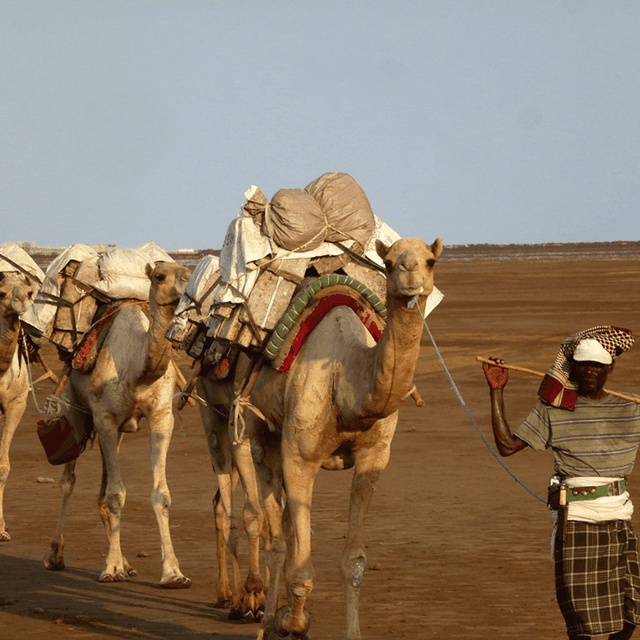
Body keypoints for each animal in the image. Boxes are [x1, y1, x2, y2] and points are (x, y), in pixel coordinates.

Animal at [43, 261, 194, 588]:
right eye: (160, 276)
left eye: (190, 272)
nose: (188, 292)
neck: (139, 371)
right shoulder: (105, 418)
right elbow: (115, 495)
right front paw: (111, 569)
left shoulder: (162, 416)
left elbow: (160, 494)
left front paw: (173, 572)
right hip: (76, 409)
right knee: (68, 480)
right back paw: (55, 554)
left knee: (101, 490)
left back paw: (126, 562)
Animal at [218, 236, 442, 640]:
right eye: (388, 262)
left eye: (431, 260)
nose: (410, 276)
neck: (345, 377)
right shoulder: (299, 457)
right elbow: (300, 566)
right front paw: (292, 623)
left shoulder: (374, 458)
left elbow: (353, 561)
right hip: (250, 427)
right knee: (272, 531)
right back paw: (266, 619)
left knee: (283, 526)